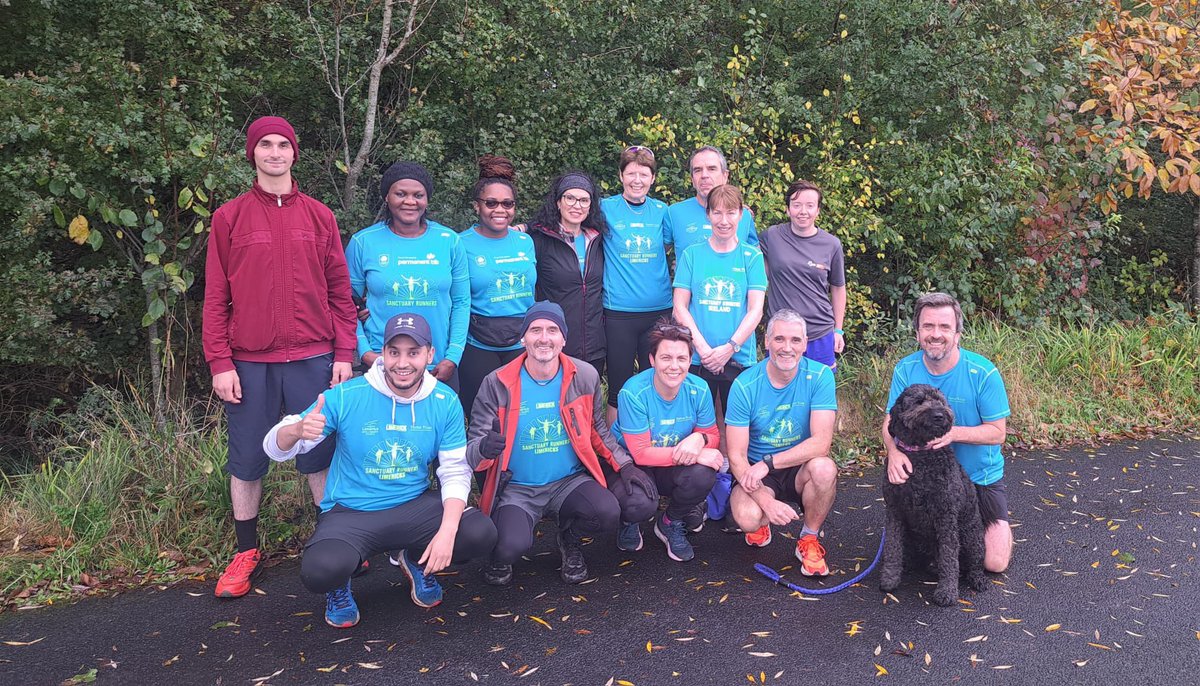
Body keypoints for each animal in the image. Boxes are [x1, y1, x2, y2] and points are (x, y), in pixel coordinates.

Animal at [878, 386, 988, 604]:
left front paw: (947, 592)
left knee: (973, 562)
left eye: (941, 401)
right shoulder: (894, 511)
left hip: (971, 536)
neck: (920, 454)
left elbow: (949, 556)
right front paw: (890, 578)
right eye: (919, 401)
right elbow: (892, 547)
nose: (939, 415)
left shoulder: (945, 516)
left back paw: (977, 579)